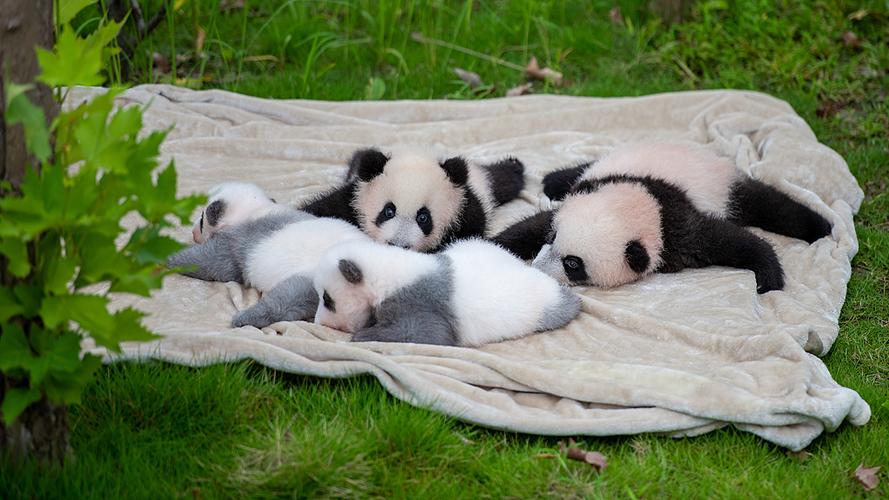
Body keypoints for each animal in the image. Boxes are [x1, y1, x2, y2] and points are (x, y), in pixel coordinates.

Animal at [167, 182, 371, 328]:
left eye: (202, 219)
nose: (193, 232)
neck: (255, 210)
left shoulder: (237, 241)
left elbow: (209, 262)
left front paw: (169, 257)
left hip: (320, 281)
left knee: (286, 300)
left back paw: (246, 318)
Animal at [300, 147, 526, 252]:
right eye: (388, 211)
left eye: (423, 218)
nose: (398, 245)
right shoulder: (353, 198)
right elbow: (321, 209)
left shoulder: (465, 214)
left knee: (501, 180)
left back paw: (513, 166)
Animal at [312, 238, 581, 347]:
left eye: (327, 299)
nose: (318, 323)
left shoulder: (420, 304)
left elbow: (424, 334)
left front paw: (365, 335)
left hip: (540, 304)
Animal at [493, 142, 833, 294]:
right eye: (553, 238)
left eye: (573, 264)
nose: (539, 269)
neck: (643, 200)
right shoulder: (592, 191)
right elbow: (530, 227)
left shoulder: (676, 224)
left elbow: (727, 239)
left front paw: (767, 277)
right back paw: (553, 180)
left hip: (727, 188)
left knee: (768, 203)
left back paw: (820, 227)